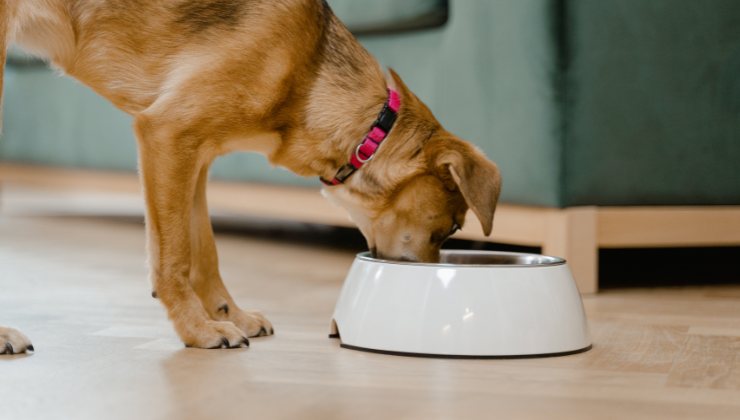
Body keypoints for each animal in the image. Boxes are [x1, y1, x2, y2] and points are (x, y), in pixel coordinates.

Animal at [0, 0, 500, 354]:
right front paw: (198, 330)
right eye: (451, 227)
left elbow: (204, 251)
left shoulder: (194, 158)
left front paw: (229, 315)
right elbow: (173, 256)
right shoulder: (166, 133)